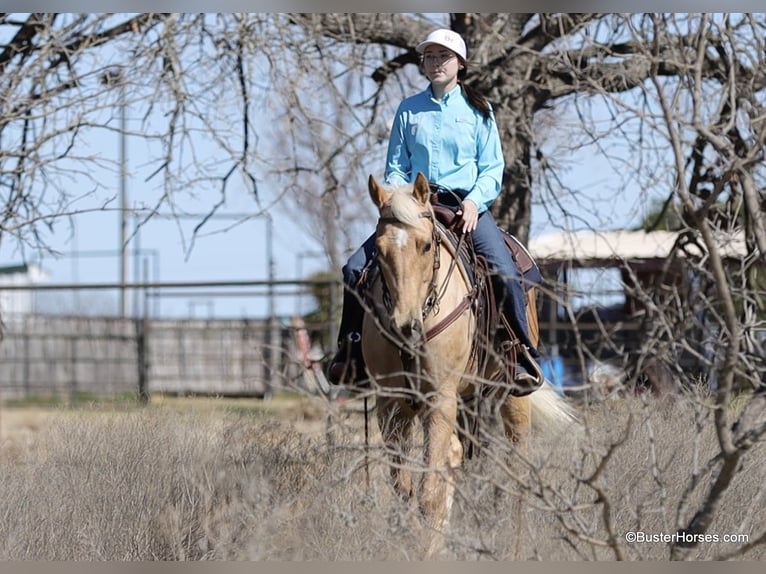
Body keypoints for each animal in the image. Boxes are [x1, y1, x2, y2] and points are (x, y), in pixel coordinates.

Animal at [360, 171, 578, 557]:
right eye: (380, 252)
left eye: (426, 246)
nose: (405, 324)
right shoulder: (391, 405)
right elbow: (404, 491)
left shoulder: (440, 400)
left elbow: (429, 494)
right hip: (470, 401)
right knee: (466, 457)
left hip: (512, 396)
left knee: (517, 468)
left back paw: (515, 547)